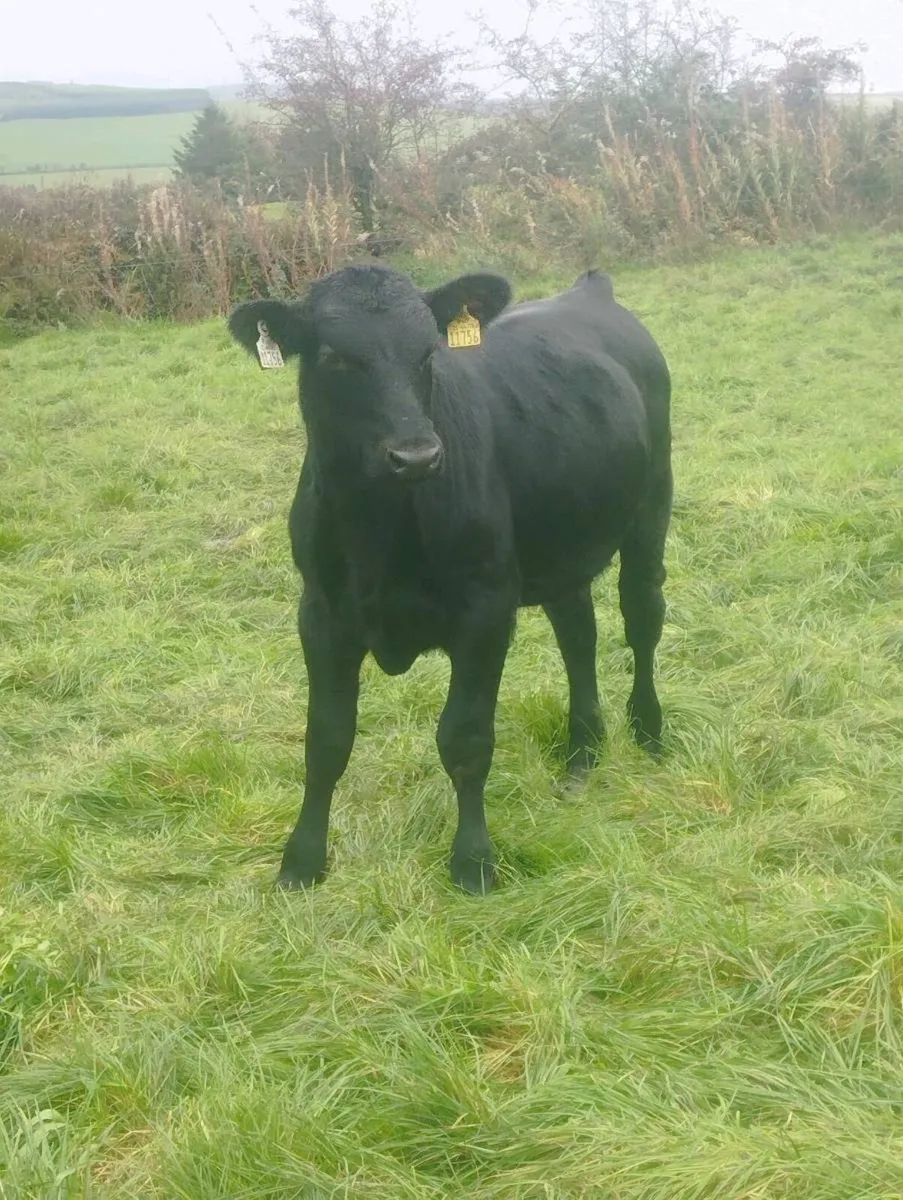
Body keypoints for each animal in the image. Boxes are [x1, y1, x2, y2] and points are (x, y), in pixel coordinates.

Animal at [228, 263, 672, 894]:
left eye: (428, 352)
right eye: (334, 356)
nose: (416, 456)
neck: (378, 531)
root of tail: (589, 289)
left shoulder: (485, 610)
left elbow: (464, 739)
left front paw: (474, 861)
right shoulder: (320, 613)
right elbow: (326, 739)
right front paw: (302, 861)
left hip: (651, 506)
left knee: (642, 619)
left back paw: (649, 732)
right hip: (562, 547)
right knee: (578, 636)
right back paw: (583, 755)